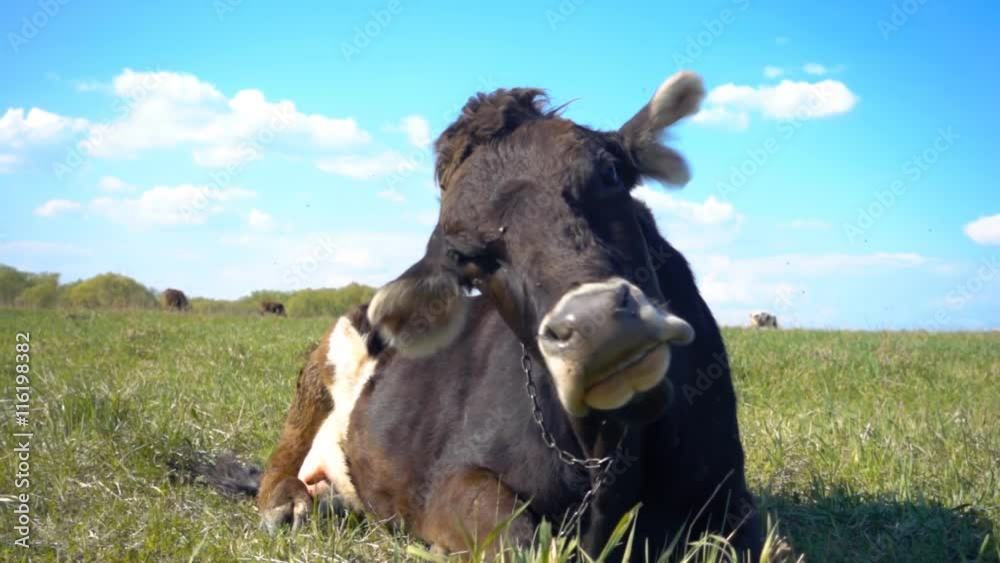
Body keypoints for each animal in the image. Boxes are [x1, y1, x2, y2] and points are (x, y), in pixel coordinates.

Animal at [254, 72, 761, 561]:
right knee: (285, 450)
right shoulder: (446, 483)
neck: (605, 445)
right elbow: (519, 538)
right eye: (468, 258)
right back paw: (287, 501)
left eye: (609, 173)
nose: (597, 325)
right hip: (327, 358)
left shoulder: (733, 499)